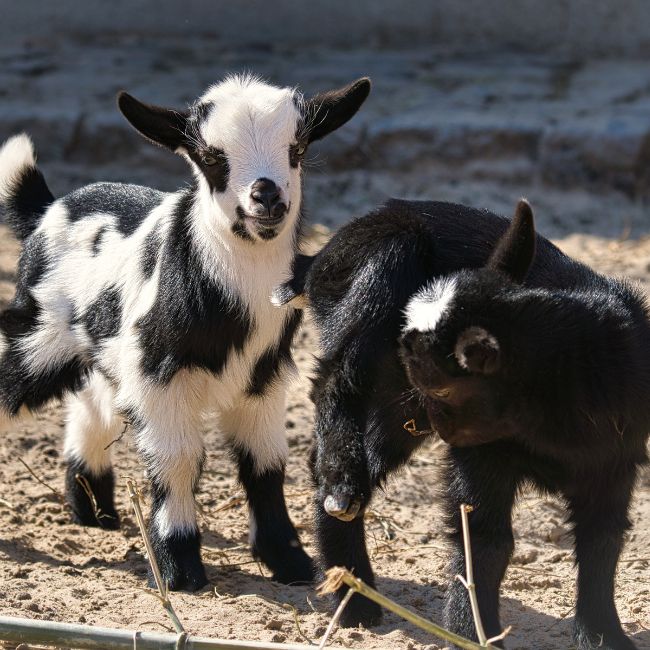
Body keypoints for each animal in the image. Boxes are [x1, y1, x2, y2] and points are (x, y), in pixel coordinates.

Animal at [0, 73, 370, 592]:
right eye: (211, 156)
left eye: (297, 149)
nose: (268, 197)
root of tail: (47, 210)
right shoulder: (159, 377)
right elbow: (176, 460)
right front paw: (180, 568)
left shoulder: (263, 379)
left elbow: (266, 464)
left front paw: (290, 562)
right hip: (39, 340)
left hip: (108, 351)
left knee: (92, 404)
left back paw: (94, 512)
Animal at [275, 200, 648, 649]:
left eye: (440, 383)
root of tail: (318, 258)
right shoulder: (480, 454)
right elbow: (485, 539)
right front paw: (472, 634)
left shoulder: (615, 461)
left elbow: (603, 539)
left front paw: (604, 635)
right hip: (376, 277)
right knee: (339, 376)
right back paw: (346, 513)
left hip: (396, 414)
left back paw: (351, 590)